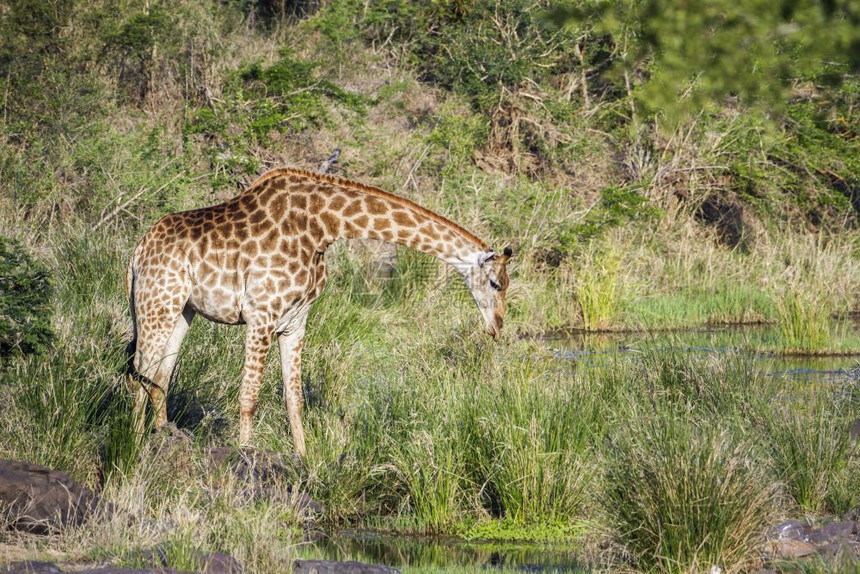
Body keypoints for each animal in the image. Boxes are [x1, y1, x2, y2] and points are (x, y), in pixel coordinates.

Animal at [124, 169, 508, 456]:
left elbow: (294, 399)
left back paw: (161, 436)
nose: (497, 327)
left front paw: (304, 458)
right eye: (496, 283)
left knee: (159, 375)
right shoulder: (261, 314)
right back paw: (132, 443)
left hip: (182, 309)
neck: (324, 226)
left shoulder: (294, 322)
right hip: (157, 301)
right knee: (140, 371)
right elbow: (249, 396)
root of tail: (137, 251)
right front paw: (244, 454)